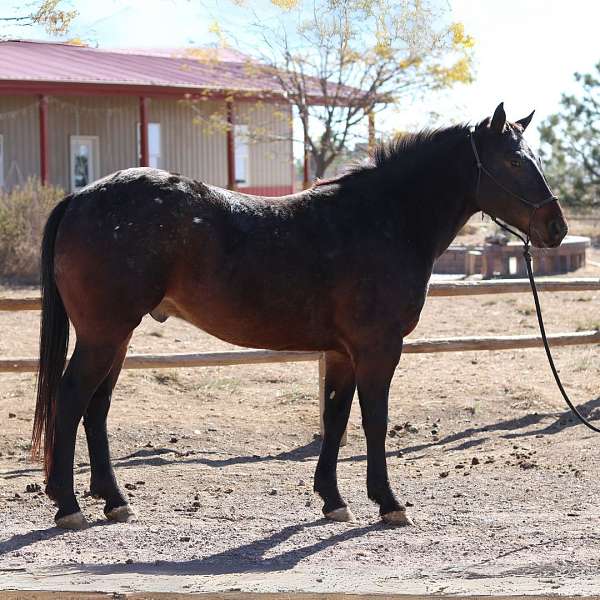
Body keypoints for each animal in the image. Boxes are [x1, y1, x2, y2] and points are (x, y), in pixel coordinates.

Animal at [31, 104, 568, 528]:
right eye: (512, 160)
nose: (556, 227)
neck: (382, 218)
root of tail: (79, 198)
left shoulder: (342, 353)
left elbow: (335, 418)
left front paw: (333, 500)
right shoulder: (378, 349)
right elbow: (374, 421)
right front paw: (388, 503)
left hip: (117, 337)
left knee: (96, 407)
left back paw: (114, 501)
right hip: (104, 334)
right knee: (72, 397)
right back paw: (68, 505)